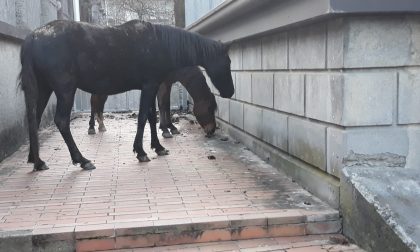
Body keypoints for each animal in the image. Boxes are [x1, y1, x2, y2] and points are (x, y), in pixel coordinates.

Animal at [90, 66, 218, 138]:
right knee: (93, 103)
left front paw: (170, 127)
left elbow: (166, 105)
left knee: (99, 103)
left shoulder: (167, 82)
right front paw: (165, 130)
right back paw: (92, 127)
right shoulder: (161, 83)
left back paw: (101, 125)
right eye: (209, 109)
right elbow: (162, 105)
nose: (212, 130)